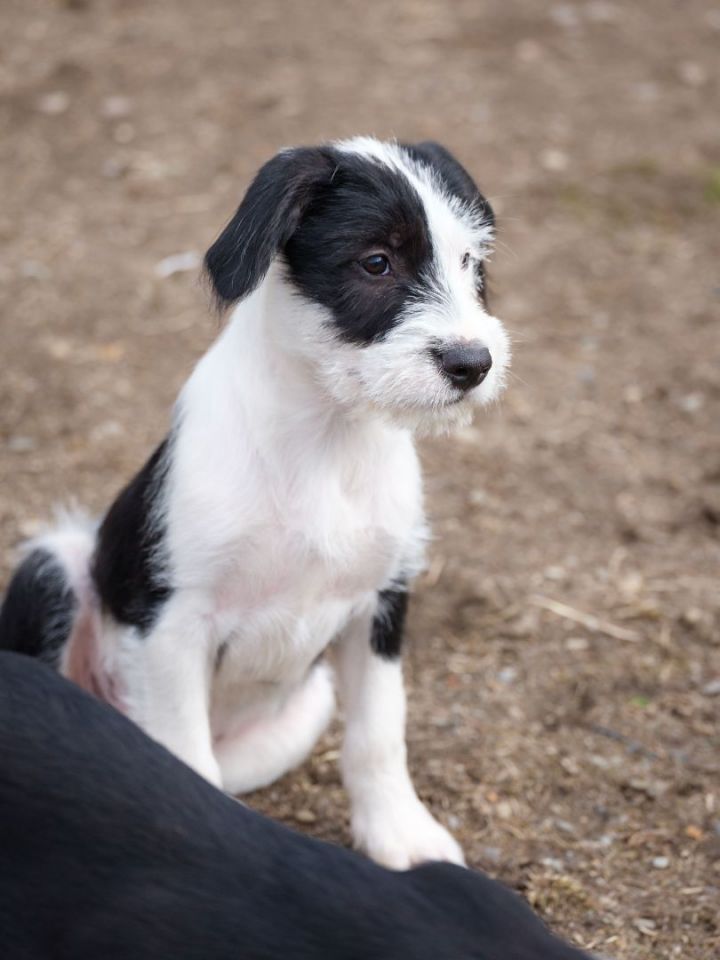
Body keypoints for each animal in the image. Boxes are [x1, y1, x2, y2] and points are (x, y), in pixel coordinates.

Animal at [0, 137, 510, 872]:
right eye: (376, 262)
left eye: (471, 262)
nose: (473, 364)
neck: (326, 440)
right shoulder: (173, 623)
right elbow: (185, 758)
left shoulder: (381, 605)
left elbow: (379, 735)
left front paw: (400, 836)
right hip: (54, 567)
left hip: (304, 709)